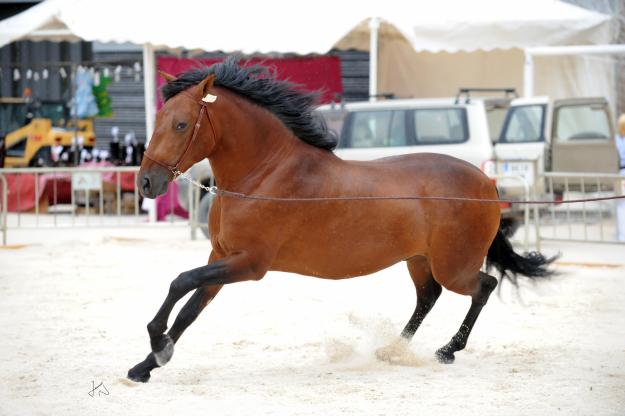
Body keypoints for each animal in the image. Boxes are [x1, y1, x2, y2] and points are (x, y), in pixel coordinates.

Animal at [128, 57, 552, 382]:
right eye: (159, 118)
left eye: (181, 124)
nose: (146, 183)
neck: (263, 174)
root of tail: (484, 183)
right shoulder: (221, 256)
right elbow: (189, 308)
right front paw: (147, 365)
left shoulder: (249, 264)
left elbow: (181, 282)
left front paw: (156, 344)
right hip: (419, 260)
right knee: (428, 297)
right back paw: (391, 350)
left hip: (454, 266)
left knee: (483, 286)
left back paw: (447, 350)